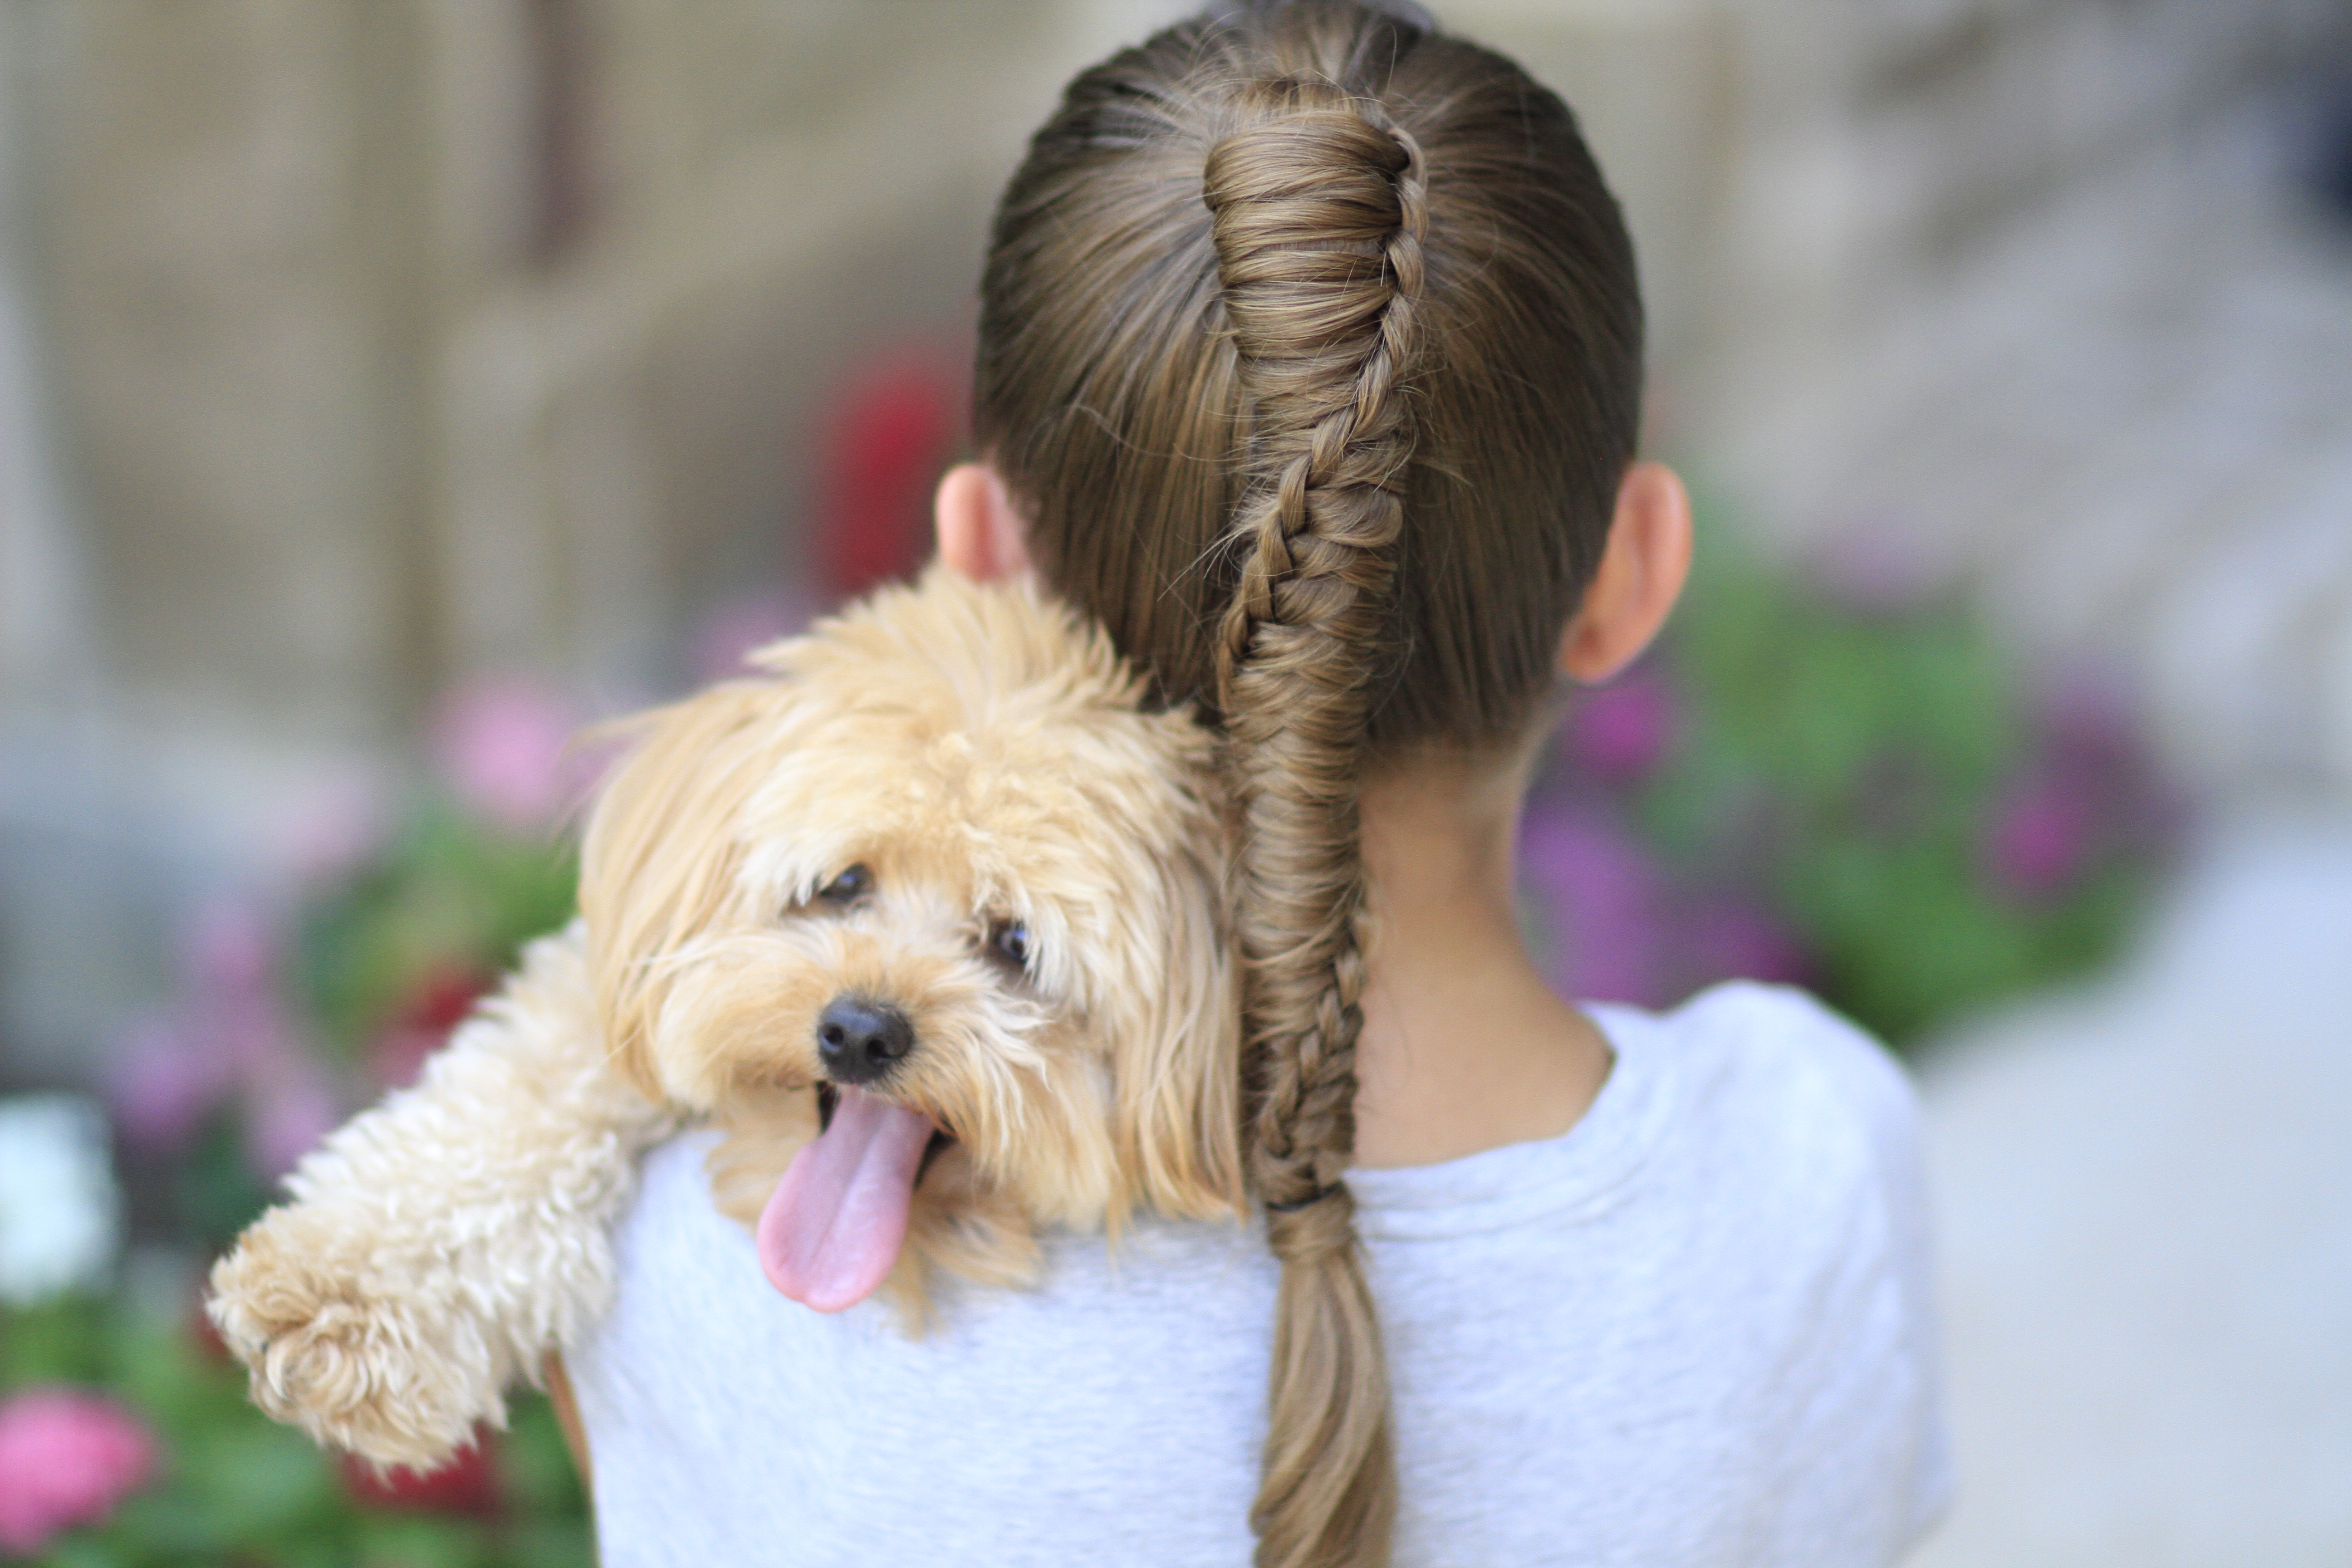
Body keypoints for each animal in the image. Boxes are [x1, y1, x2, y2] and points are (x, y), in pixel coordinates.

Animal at [207, 573, 1251, 1476]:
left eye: (1015, 943)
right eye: (843, 883)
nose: (860, 1033)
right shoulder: (615, 985)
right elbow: (524, 1092)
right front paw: (344, 1294)